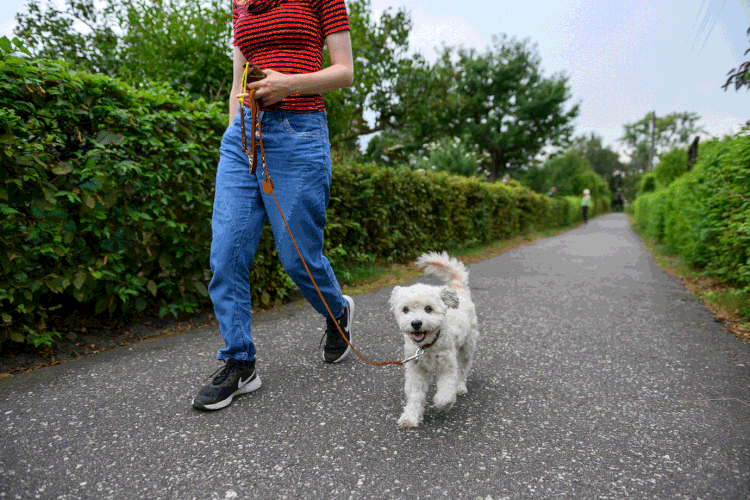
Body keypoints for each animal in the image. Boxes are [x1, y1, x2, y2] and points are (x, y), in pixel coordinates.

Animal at [390, 252, 478, 428]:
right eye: (405, 309)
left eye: (428, 308)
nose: (416, 323)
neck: (427, 346)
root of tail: (460, 291)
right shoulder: (415, 369)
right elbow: (415, 395)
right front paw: (410, 417)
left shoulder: (447, 366)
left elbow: (445, 393)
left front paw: (442, 404)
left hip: (467, 348)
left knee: (463, 369)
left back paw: (460, 387)